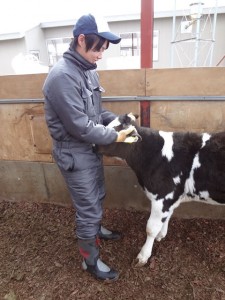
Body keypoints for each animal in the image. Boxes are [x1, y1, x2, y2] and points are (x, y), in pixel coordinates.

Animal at [98, 113, 225, 268]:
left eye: (114, 133)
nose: (93, 145)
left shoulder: (163, 196)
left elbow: (151, 228)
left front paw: (143, 256)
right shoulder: (171, 197)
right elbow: (167, 216)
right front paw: (161, 234)